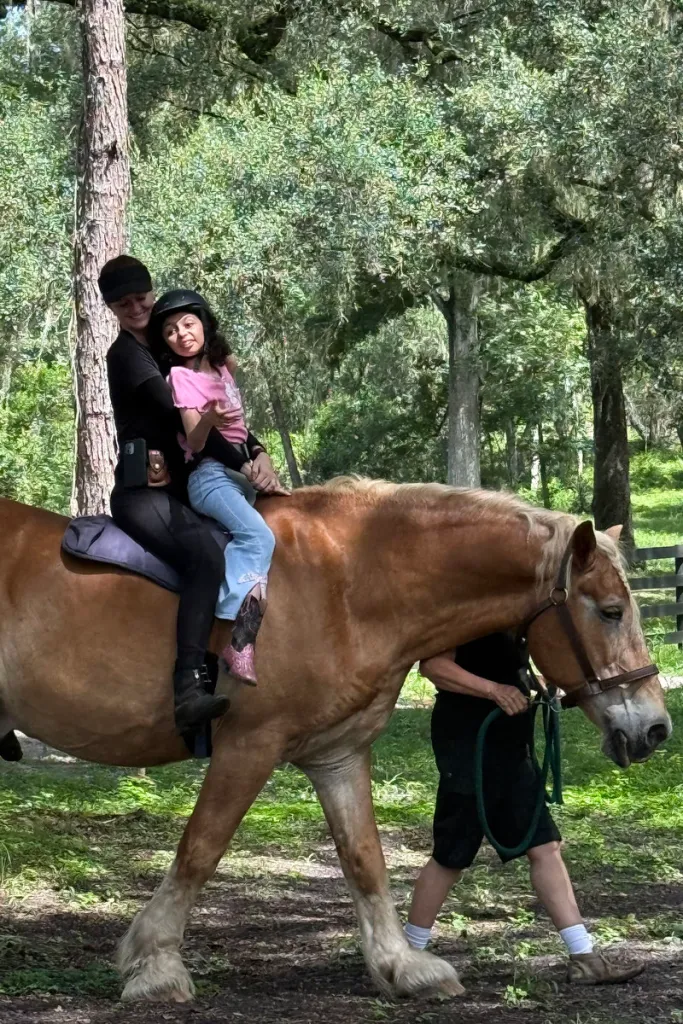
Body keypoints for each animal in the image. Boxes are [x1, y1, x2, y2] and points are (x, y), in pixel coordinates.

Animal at [0, 480, 670, 1003]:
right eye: (611, 611)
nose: (655, 728)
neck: (346, 584)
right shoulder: (250, 746)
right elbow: (200, 850)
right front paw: (156, 965)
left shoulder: (338, 757)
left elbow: (364, 860)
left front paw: (403, 965)